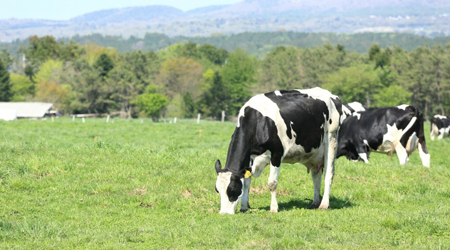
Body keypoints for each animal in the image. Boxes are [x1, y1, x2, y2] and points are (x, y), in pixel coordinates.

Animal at [214, 87, 344, 214]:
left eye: (232, 189)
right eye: (217, 190)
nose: (223, 213)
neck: (259, 121)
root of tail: (332, 95)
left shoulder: (277, 154)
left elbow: (272, 183)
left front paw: (274, 208)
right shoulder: (250, 157)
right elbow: (247, 182)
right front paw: (244, 206)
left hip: (331, 139)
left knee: (328, 174)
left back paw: (324, 204)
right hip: (314, 153)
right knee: (316, 176)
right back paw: (315, 203)